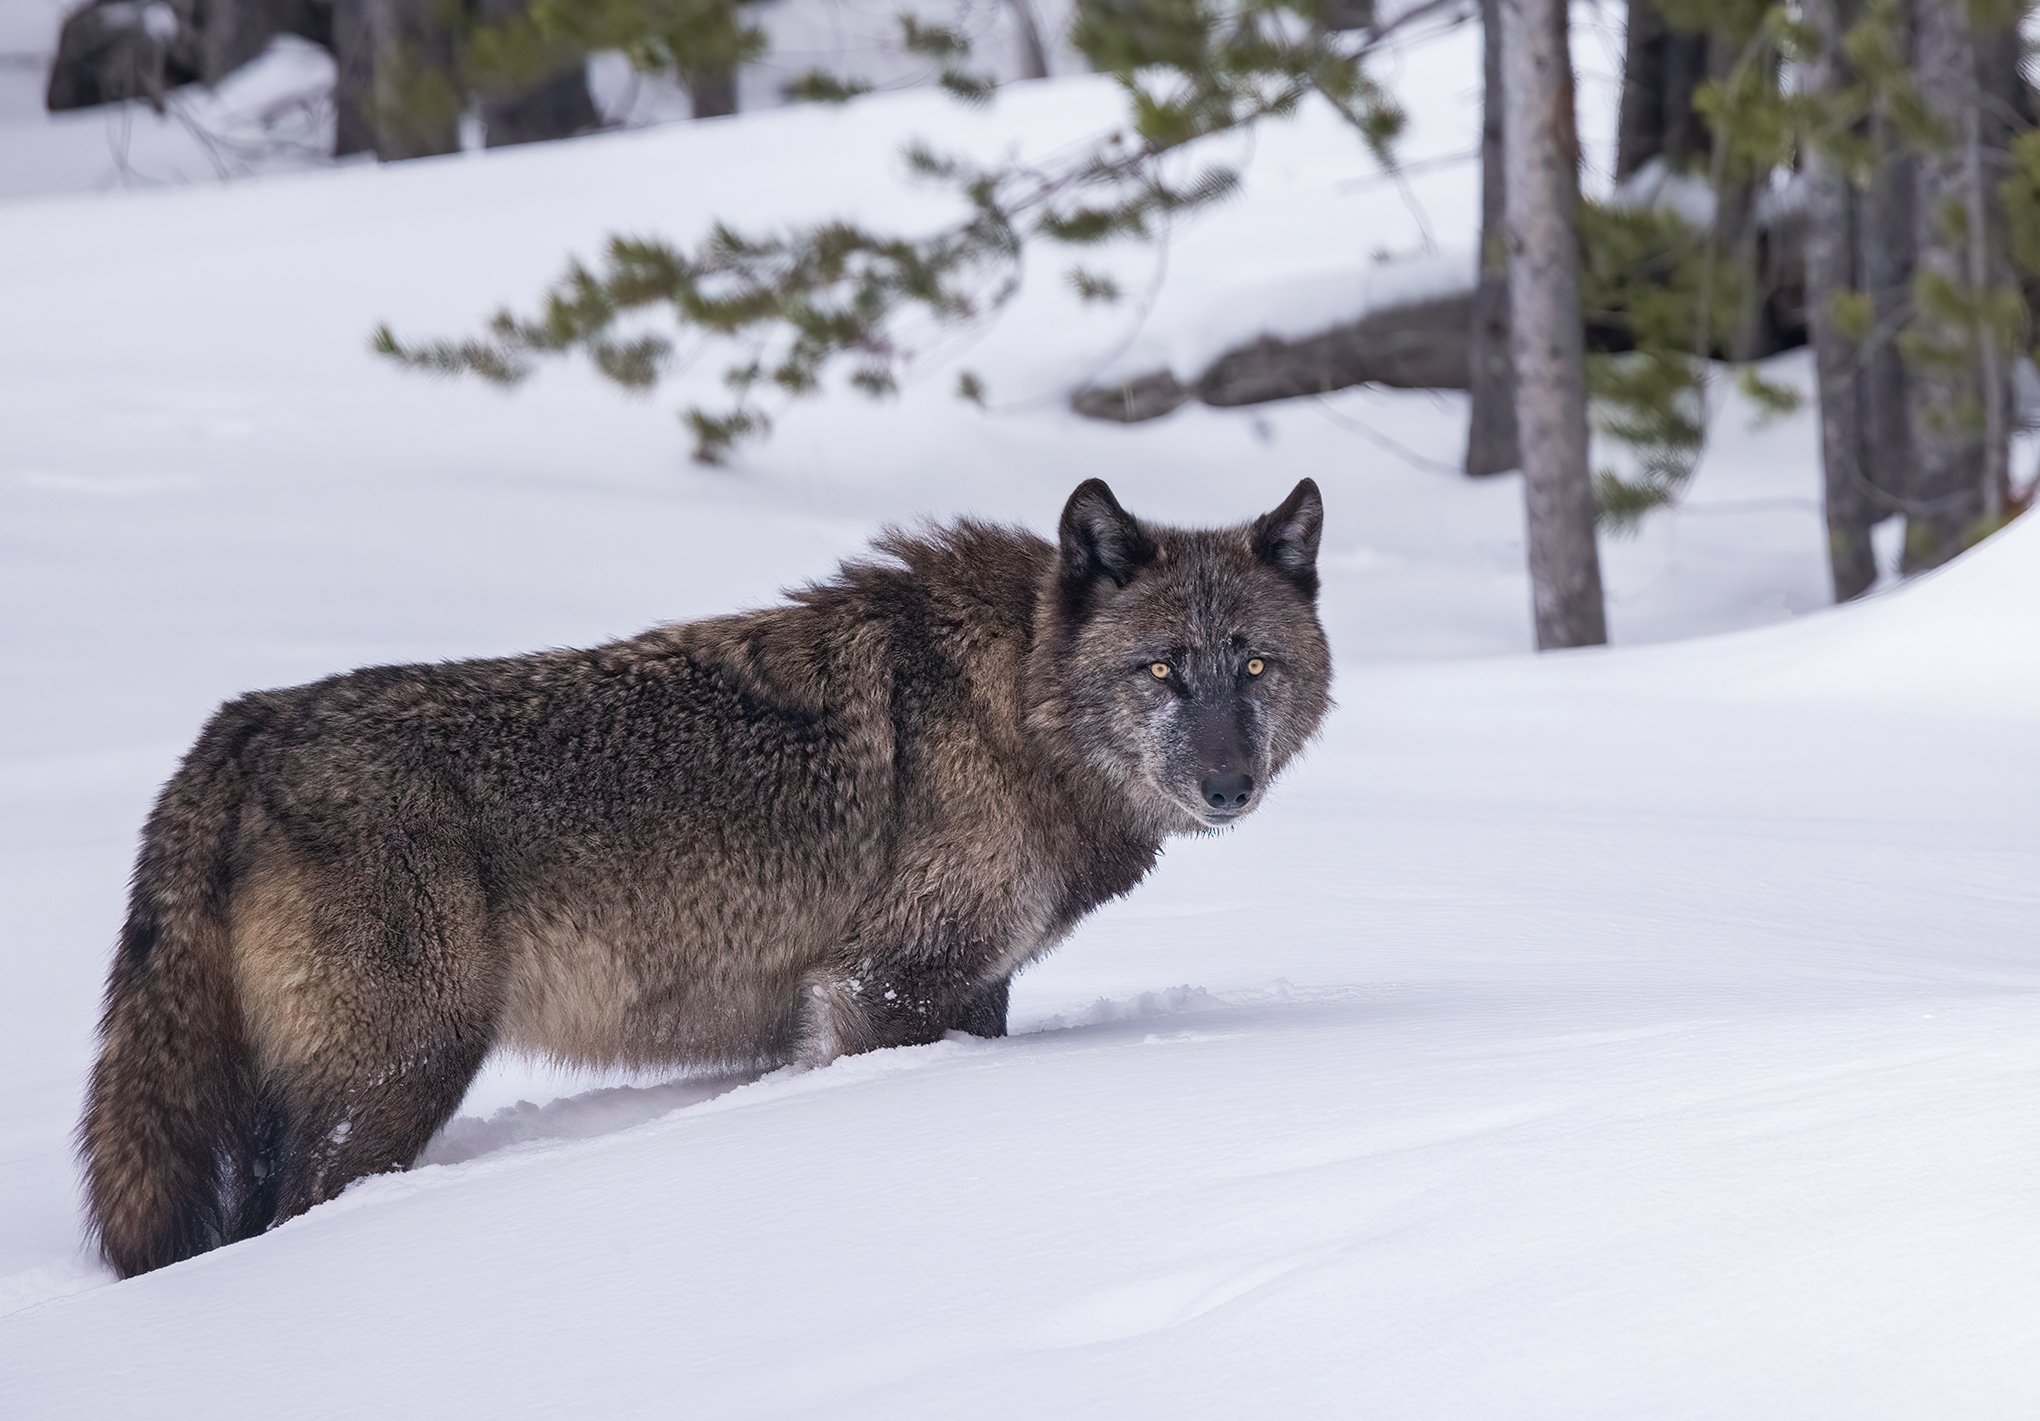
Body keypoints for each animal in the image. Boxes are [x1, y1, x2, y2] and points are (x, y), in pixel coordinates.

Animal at [79, 477, 1330, 1272]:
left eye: (1254, 666)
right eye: (1162, 669)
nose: (1228, 784)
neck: (1017, 701)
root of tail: (243, 728)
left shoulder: (972, 990)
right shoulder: (886, 987)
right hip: (398, 1077)